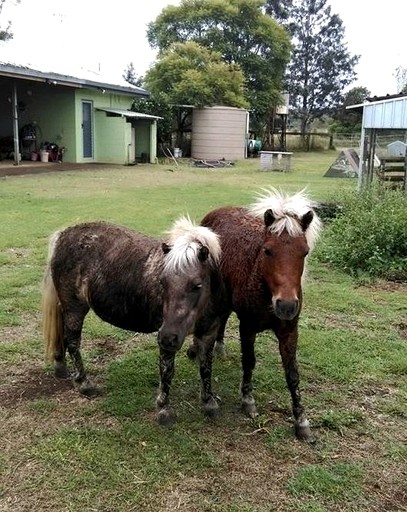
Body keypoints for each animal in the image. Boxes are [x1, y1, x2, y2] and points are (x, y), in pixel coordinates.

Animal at [42, 216, 226, 424]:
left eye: (197, 285)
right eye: (162, 282)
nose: (167, 337)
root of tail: (62, 236)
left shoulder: (208, 333)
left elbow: (206, 367)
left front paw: (209, 403)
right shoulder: (168, 337)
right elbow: (167, 370)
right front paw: (164, 409)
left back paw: (60, 366)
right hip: (75, 308)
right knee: (72, 341)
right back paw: (84, 383)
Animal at [190, 188, 322, 440]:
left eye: (305, 252)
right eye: (268, 250)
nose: (286, 305)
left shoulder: (289, 331)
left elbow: (293, 374)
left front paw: (301, 420)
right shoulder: (248, 326)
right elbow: (249, 361)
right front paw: (248, 400)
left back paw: (219, 347)